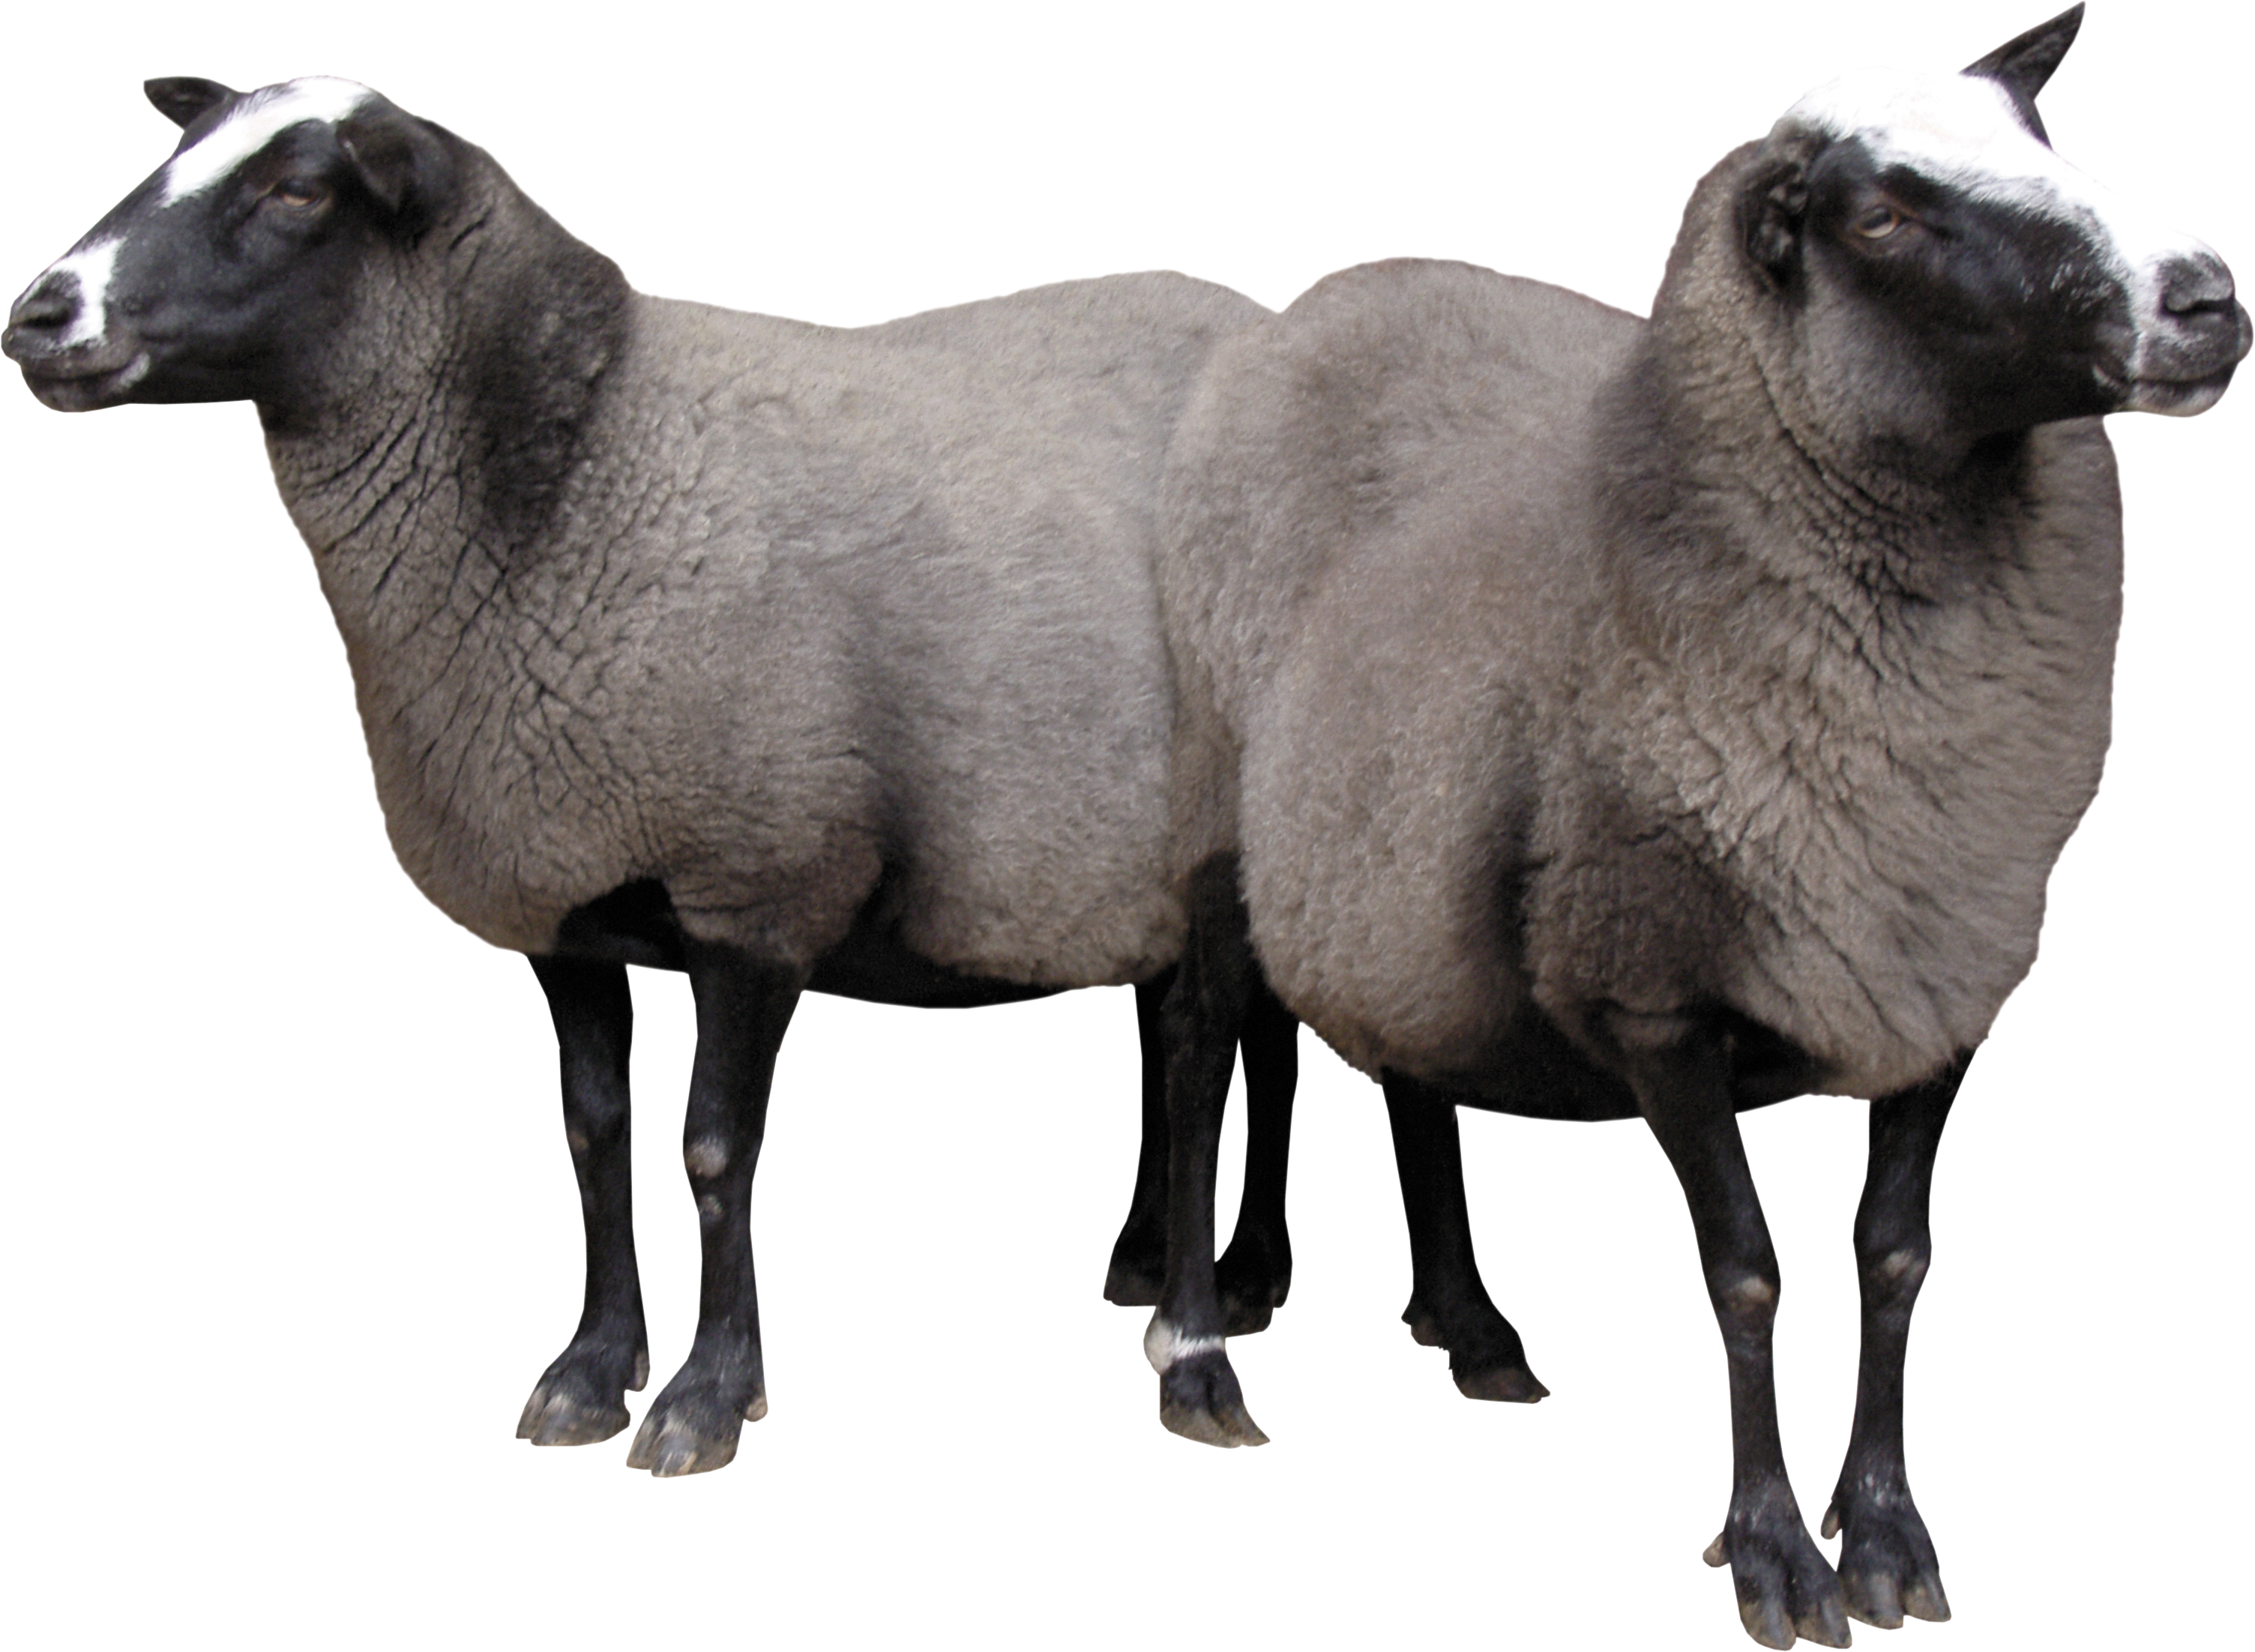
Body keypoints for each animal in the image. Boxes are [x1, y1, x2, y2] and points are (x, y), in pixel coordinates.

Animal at [2, 73, 1273, 1478]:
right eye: (178, 148)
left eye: (298, 188)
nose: (39, 314)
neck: (581, 466)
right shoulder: (563, 895)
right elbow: (590, 1133)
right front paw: (589, 1367)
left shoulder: (758, 879)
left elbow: (713, 1149)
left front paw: (707, 1395)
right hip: (1134, 850)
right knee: (1212, 1044)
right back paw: (1186, 1265)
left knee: (1209, 1060)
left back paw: (1198, 1344)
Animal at [1143, 6, 2248, 1645]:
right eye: (1881, 212)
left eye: (2042, 140)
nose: (2204, 303)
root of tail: (1313, 306)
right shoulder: (1649, 985)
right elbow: (1746, 1271)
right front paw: (1773, 1551)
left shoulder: (1940, 975)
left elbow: (1892, 1256)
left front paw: (1888, 1534)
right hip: (1224, 816)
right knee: (1210, 1042)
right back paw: (1198, 1348)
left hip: (1396, 834)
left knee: (1402, 1057)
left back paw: (1469, 1323)